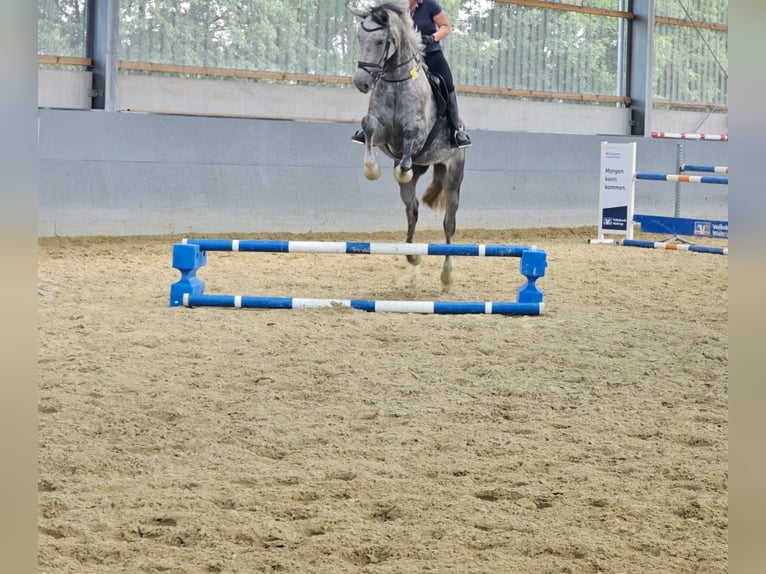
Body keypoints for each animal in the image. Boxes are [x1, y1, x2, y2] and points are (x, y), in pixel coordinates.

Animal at [350, 0, 468, 294]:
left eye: (380, 41)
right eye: (359, 38)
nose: (361, 82)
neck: (395, 79)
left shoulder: (418, 133)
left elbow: (411, 132)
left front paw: (399, 169)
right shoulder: (382, 132)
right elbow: (368, 125)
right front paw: (371, 169)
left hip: (453, 174)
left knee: (449, 223)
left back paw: (446, 277)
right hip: (421, 172)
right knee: (412, 210)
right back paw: (412, 257)